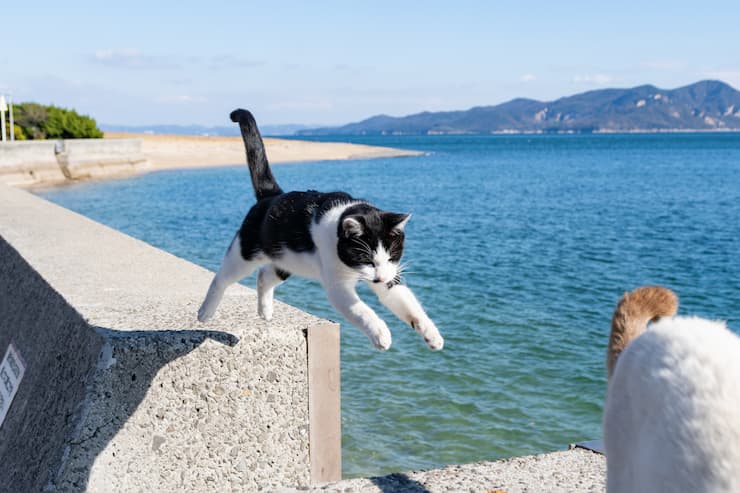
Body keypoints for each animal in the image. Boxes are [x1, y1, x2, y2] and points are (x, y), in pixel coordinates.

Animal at [195, 110, 446, 352]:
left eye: (392, 256)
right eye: (366, 259)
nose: (380, 277)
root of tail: (271, 196)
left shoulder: (390, 275)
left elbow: (408, 303)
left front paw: (433, 335)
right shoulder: (337, 284)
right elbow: (361, 310)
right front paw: (381, 334)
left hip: (288, 259)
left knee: (264, 275)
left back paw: (265, 310)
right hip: (246, 250)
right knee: (223, 276)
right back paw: (205, 311)